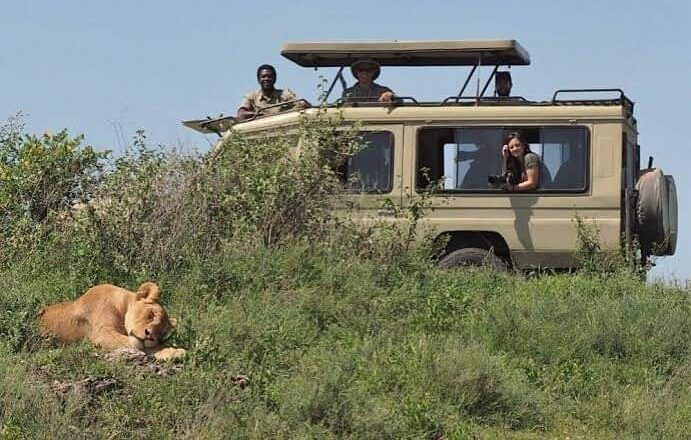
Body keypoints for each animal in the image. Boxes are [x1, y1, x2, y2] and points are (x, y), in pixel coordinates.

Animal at [38, 282, 186, 361]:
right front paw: (173, 351)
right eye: (151, 315)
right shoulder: (102, 334)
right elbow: (142, 346)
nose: (150, 336)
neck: (123, 305)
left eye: (162, 332)